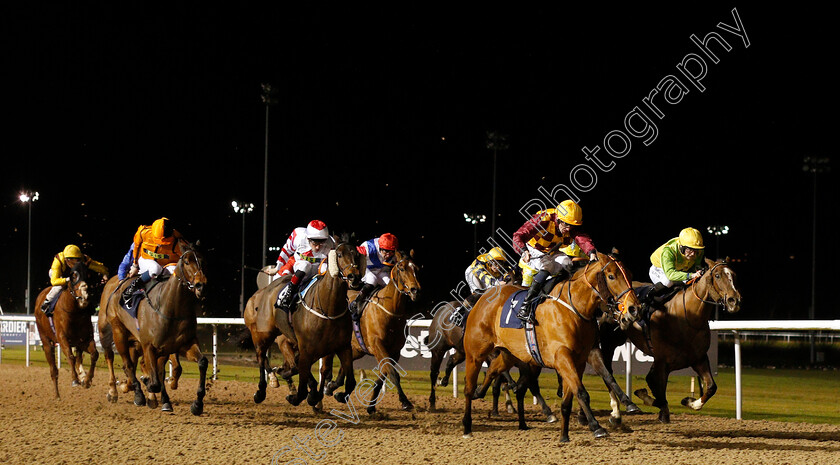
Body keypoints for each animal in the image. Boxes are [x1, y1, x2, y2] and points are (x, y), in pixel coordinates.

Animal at [33, 262, 97, 396]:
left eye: (88, 274)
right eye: (73, 276)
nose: (84, 297)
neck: (75, 313)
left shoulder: (84, 340)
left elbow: (94, 354)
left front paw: (87, 380)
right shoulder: (62, 338)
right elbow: (70, 356)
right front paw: (75, 380)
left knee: (79, 358)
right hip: (46, 340)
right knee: (53, 370)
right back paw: (57, 395)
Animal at [98, 239, 208, 414]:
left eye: (203, 261)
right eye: (186, 261)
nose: (200, 285)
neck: (170, 308)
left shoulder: (183, 343)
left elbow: (201, 362)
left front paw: (197, 404)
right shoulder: (149, 345)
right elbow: (154, 380)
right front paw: (146, 387)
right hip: (114, 331)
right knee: (120, 361)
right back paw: (121, 392)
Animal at [324, 248, 424, 412]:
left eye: (416, 268)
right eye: (402, 268)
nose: (416, 290)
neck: (390, 311)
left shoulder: (394, 351)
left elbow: (383, 375)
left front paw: (371, 406)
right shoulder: (378, 346)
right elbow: (393, 373)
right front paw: (405, 401)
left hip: (356, 348)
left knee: (346, 364)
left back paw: (337, 390)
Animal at [462, 252, 640, 440]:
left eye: (630, 275)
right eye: (611, 276)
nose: (634, 309)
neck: (573, 308)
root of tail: (484, 297)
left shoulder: (581, 358)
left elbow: (584, 389)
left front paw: (565, 435)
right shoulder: (562, 356)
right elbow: (581, 392)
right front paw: (596, 426)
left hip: (510, 354)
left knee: (494, 371)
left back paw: (495, 402)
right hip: (475, 354)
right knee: (469, 387)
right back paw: (467, 425)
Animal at [596, 260, 740, 422]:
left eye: (734, 275)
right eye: (717, 275)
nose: (734, 301)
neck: (687, 317)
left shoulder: (698, 358)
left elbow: (711, 387)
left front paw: (691, 402)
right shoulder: (662, 361)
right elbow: (658, 391)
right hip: (610, 342)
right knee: (607, 371)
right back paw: (615, 410)